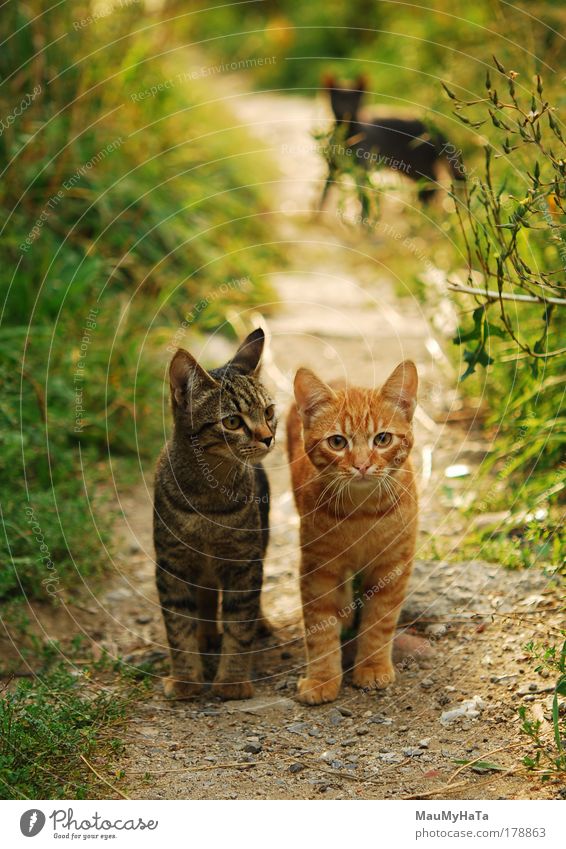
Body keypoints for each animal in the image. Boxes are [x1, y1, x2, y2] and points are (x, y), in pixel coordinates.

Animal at [154, 328, 278, 700]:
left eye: (269, 411)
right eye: (233, 422)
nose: (269, 437)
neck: (209, 497)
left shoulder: (243, 563)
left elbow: (239, 625)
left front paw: (232, 681)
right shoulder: (173, 564)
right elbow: (178, 626)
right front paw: (186, 679)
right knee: (206, 595)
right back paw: (205, 634)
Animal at [286, 362, 420, 704]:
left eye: (382, 439)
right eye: (337, 442)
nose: (361, 465)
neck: (361, 512)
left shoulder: (393, 566)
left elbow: (379, 622)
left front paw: (372, 667)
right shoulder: (317, 568)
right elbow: (319, 627)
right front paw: (322, 679)